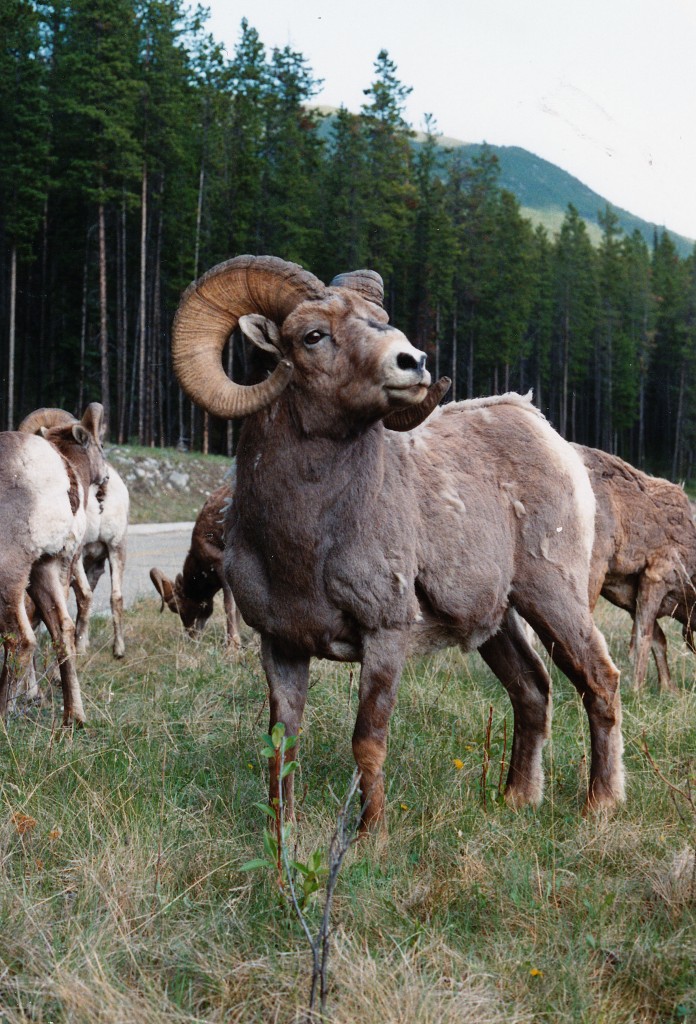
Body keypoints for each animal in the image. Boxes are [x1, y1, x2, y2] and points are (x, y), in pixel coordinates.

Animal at [0, 403, 107, 724]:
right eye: (101, 446)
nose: (106, 478)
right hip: (44, 568)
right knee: (61, 630)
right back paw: (74, 718)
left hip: (12, 575)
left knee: (20, 639)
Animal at [169, 256, 626, 831]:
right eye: (313, 335)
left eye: (382, 321)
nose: (415, 362)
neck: (304, 547)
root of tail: (540, 427)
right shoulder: (280, 646)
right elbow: (282, 745)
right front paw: (282, 831)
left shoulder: (386, 636)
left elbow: (368, 742)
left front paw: (371, 836)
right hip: (498, 622)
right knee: (532, 690)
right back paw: (517, 798)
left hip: (553, 597)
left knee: (598, 680)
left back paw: (600, 804)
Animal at [573, 444, 696, 692]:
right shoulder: (656, 577)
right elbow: (644, 637)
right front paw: (637, 690)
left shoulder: (630, 594)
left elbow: (658, 640)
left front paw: (668, 689)